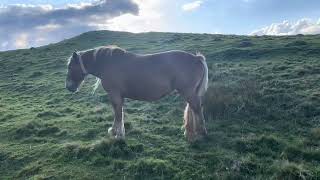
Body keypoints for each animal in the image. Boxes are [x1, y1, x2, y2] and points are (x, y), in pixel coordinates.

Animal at [66, 45, 209, 142]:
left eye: (70, 67)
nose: (69, 87)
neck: (107, 63)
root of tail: (197, 58)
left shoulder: (114, 95)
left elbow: (118, 114)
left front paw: (118, 134)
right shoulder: (119, 97)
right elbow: (119, 113)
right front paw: (115, 131)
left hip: (189, 93)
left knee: (197, 109)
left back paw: (202, 133)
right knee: (193, 109)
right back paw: (190, 132)